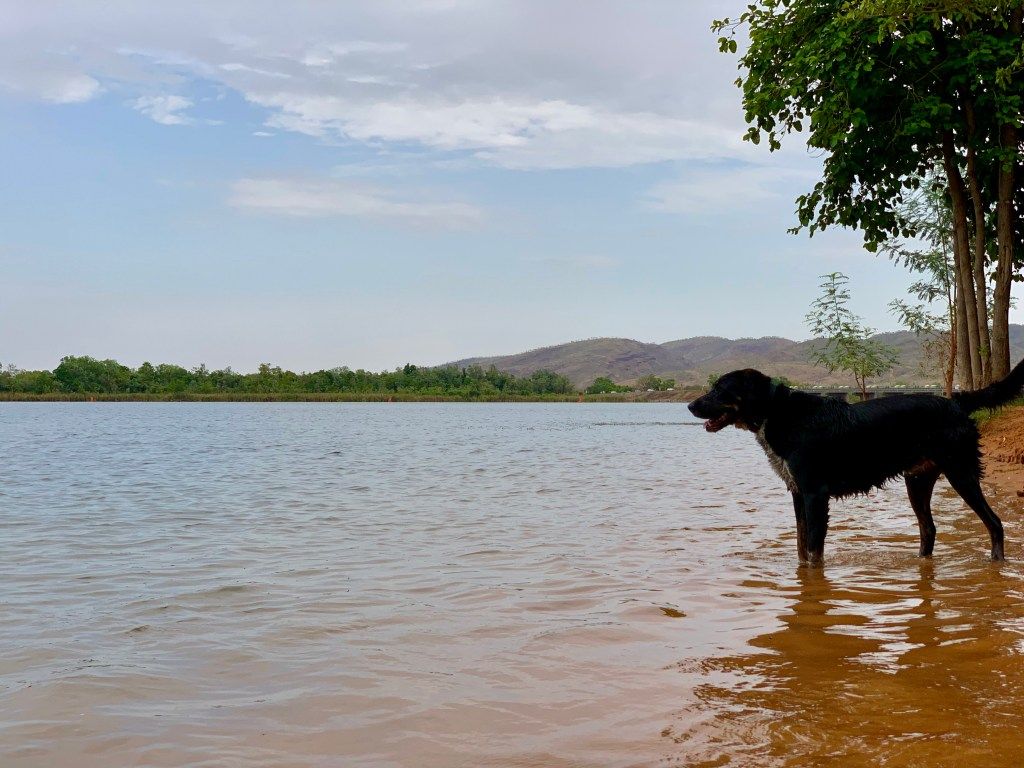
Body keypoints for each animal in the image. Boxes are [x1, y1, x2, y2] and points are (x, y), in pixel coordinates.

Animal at [688, 360, 1024, 565]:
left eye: (720, 389)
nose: (690, 405)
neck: (777, 413)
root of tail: (955, 401)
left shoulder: (815, 494)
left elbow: (813, 549)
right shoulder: (797, 493)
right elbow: (800, 546)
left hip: (960, 472)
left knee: (995, 523)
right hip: (917, 480)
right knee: (928, 529)